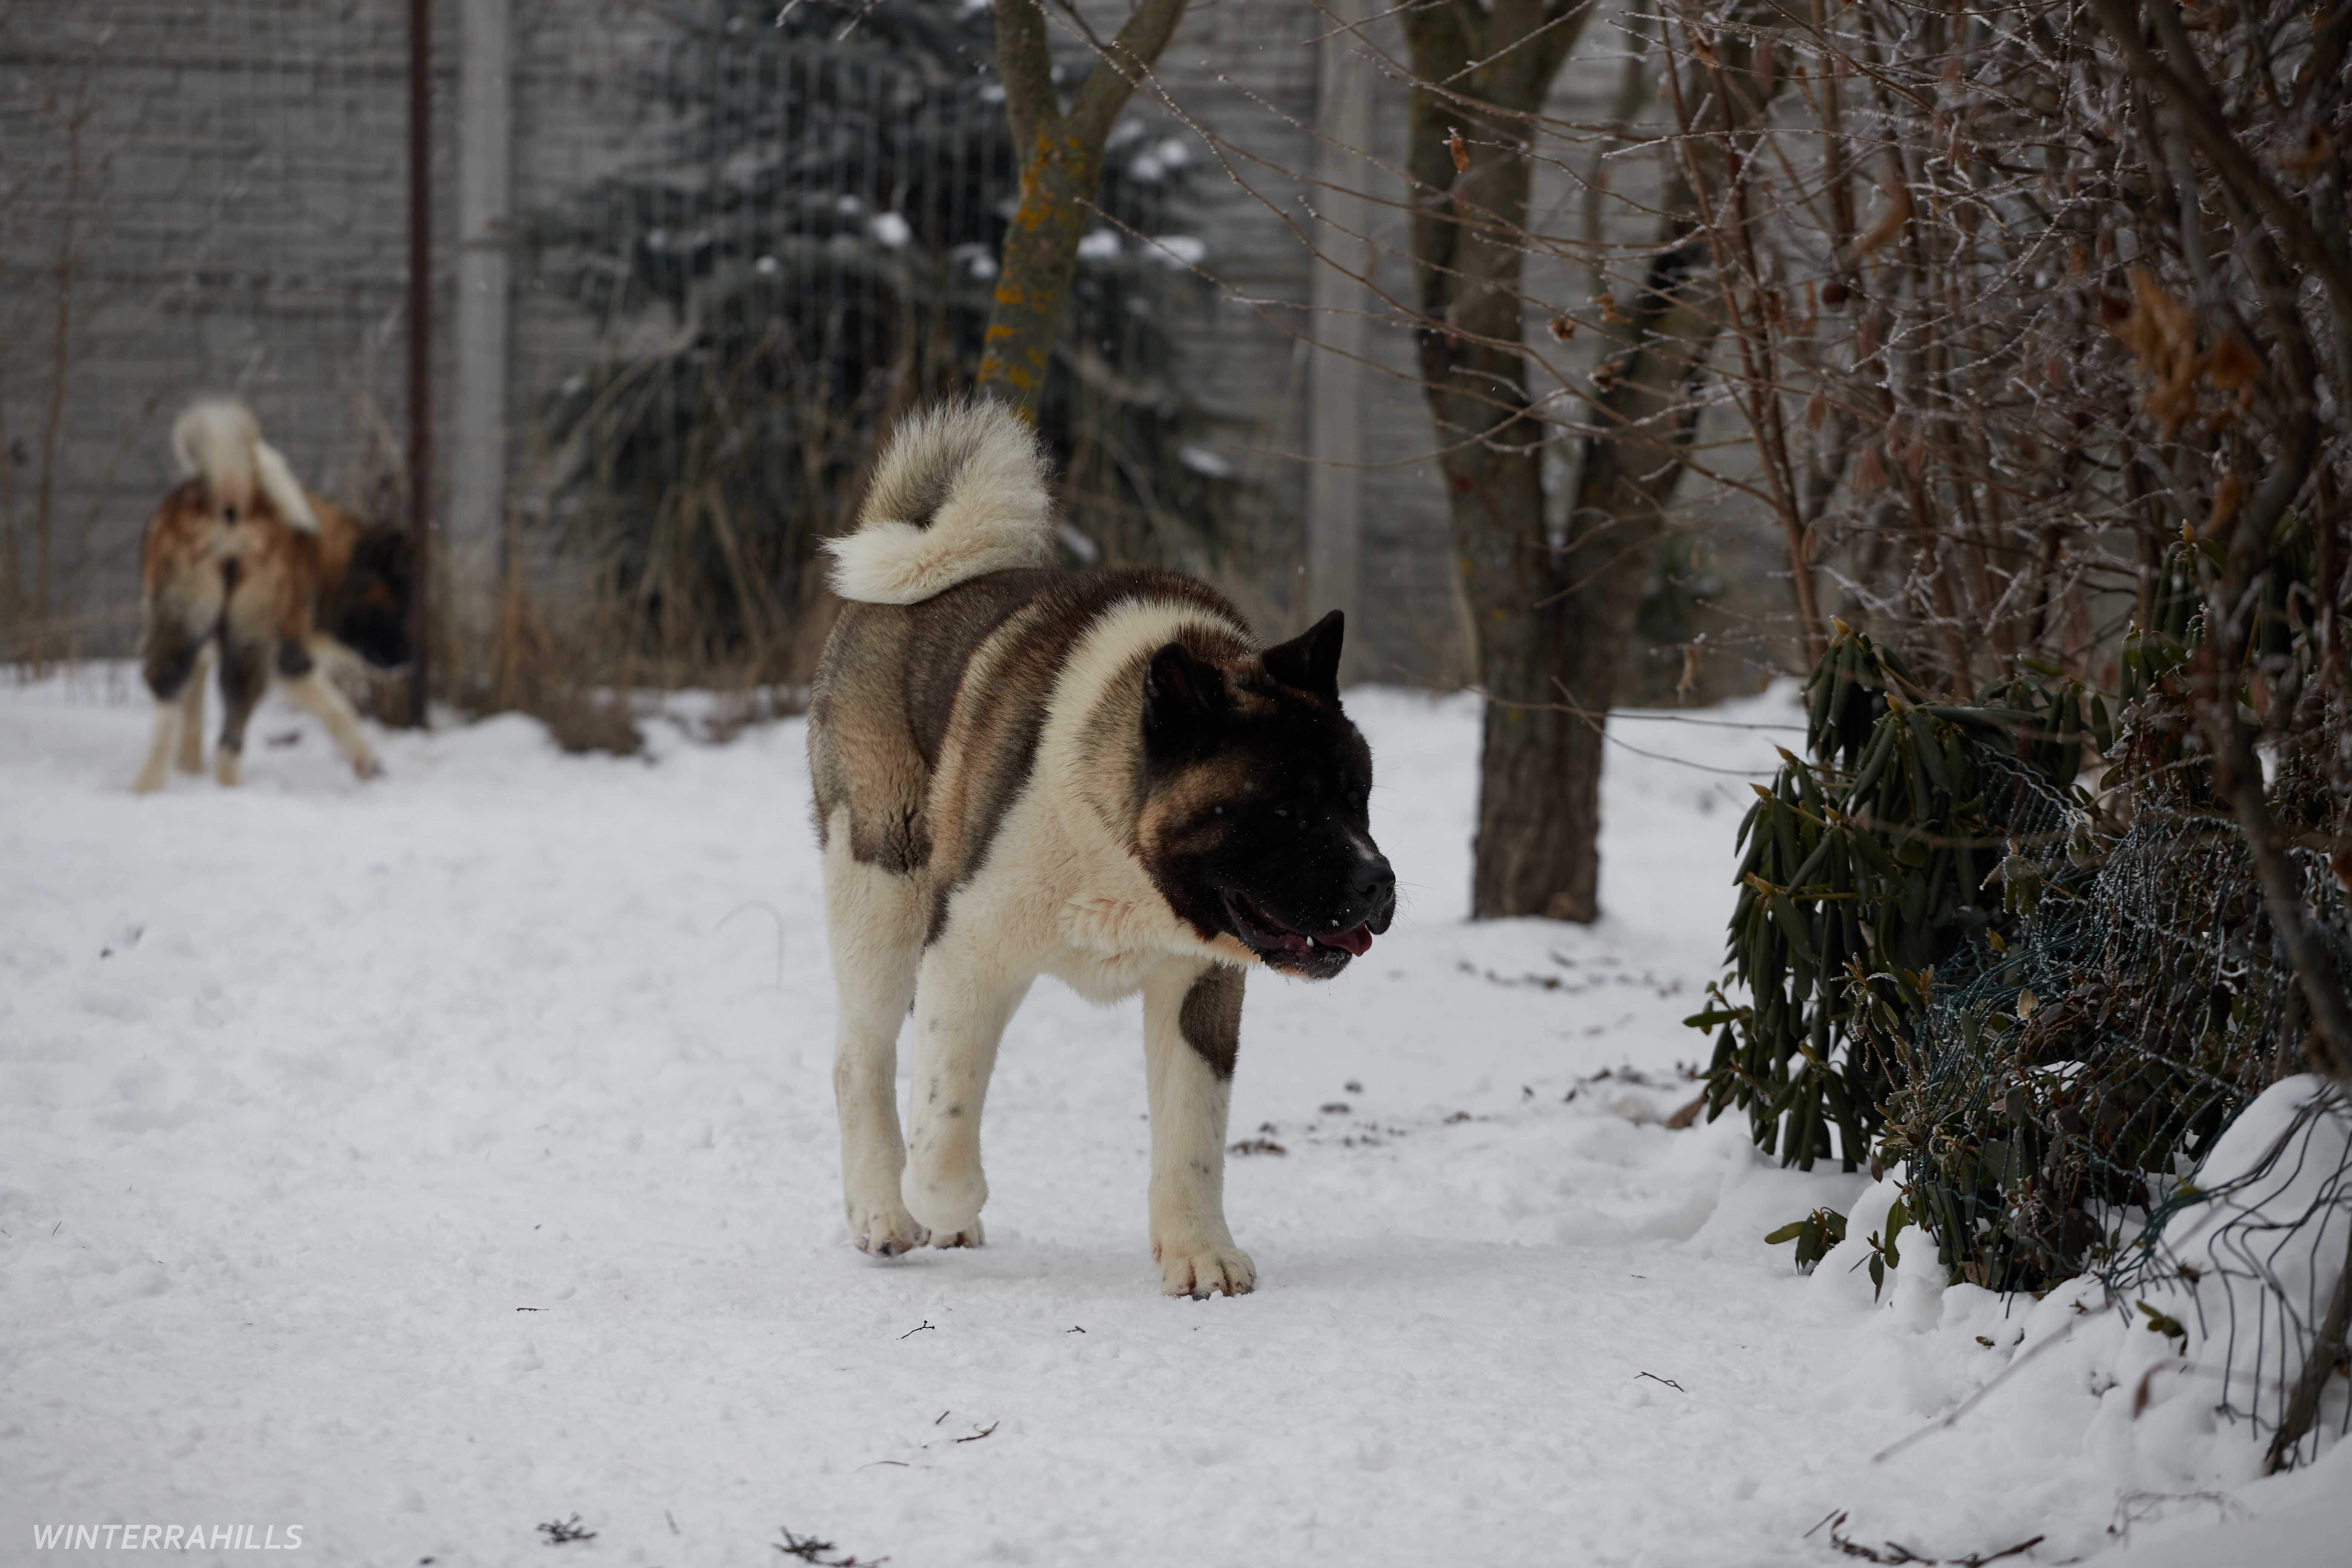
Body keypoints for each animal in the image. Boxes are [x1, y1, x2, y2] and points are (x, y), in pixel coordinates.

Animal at [134, 402, 412, 799]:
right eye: (394, 607)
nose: (409, 660)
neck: (318, 556)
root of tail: (231, 500)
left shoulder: (203, 654)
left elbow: (192, 718)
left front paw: (189, 770)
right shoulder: (288, 658)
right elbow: (339, 710)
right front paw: (367, 762)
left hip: (183, 623)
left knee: (167, 695)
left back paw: (147, 787)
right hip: (250, 648)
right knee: (229, 742)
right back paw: (233, 792)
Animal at [814, 402, 1392, 1297]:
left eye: (1358, 794)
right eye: (1284, 810)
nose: (1377, 883)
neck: (1121, 855)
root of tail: (911, 575)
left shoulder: (1201, 985)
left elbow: (1192, 1133)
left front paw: (1200, 1253)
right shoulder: (967, 953)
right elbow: (943, 1125)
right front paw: (939, 1199)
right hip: (883, 890)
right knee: (863, 1060)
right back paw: (885, 1213)